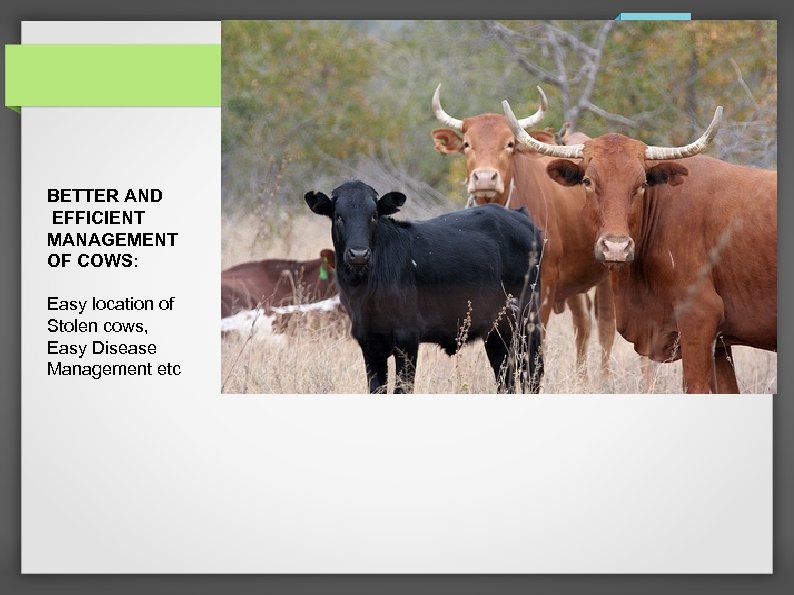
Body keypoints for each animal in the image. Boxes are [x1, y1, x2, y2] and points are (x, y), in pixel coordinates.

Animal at [305, 180, 543, 394]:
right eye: (338, 217)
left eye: (373, 215)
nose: (359, 254)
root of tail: (519, 215)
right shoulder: (369, 342)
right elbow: (376, 389)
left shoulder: (407, 338)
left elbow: (402, 389)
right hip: (497, 330)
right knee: (505, 375)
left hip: (526, 320)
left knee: (532, 371)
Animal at [431, 85, 616, 377]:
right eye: (468, 144)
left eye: (509, 144)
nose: (485, 178)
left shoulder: (544, 286)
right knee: (583, 326)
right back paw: (582, 378)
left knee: (606, 327)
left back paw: (604, 379)